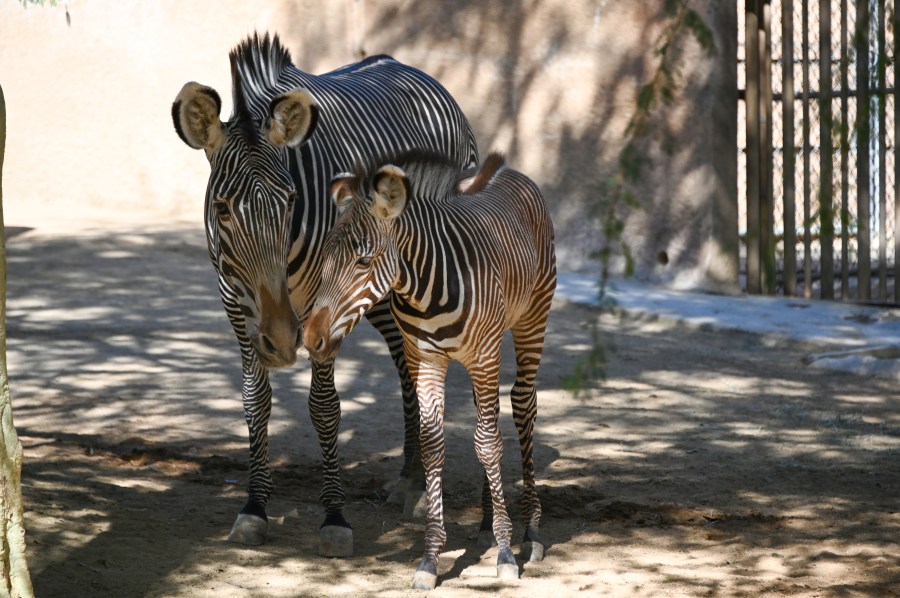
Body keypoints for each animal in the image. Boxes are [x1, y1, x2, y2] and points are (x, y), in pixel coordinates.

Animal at [171, 33, 478, 556]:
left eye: (291, 201)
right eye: (223, 209)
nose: (281, 340)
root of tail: (414, 71)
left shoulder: (322, 302)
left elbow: (325, 408)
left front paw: (335, 516)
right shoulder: (235, 303)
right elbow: (256, 401)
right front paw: (254, 508)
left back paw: (419, 489)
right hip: (383, 295)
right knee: (405, 363)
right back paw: (410, 479)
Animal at [303, 149, 556, 590]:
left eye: (363, 261)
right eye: (326, 261)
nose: (310, 337)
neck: (426, 289)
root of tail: (510, 171)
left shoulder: (484, 355)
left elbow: (488, 444)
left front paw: (506, 554)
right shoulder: (424, 359)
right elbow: (434, 444)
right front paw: (430, 558)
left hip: (531, 320)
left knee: (523, 408)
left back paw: (531, 532)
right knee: (488, 416)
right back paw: (486, 524)